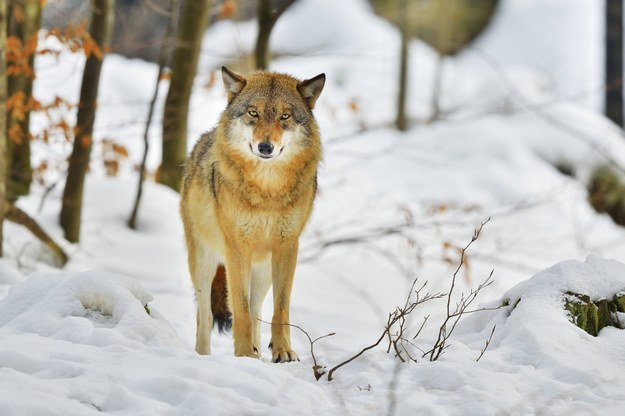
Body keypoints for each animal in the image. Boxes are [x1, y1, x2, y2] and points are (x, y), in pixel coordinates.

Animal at [179, 66, 324, 362]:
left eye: (284, 116)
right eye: (253, 113)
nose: (265, 147)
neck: (267, 192)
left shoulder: (287, 247)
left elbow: (280, 309)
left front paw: (282, 351)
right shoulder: (237, 248)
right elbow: (240, 310)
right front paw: (244, 354)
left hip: (263, 271)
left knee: (258, 314)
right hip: (204, 265)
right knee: (205, 317)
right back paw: (205, 357)